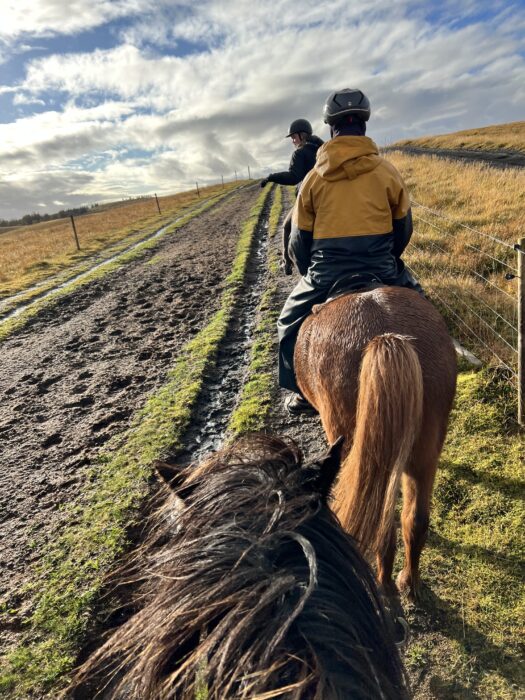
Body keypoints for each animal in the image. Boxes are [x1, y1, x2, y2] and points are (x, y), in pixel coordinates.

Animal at [296, 288, 456, 600]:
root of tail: (387, 337)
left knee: (382, 525)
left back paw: (385, 585)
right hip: (423, 459)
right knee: (416, 520)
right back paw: (409, 582)